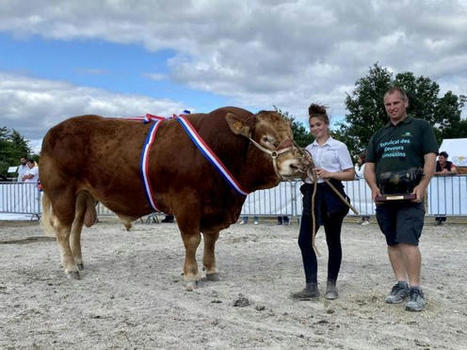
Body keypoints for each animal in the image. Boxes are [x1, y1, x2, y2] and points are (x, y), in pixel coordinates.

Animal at [41, 108, 310, 288]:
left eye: (290, 133)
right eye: (267, 139)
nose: (296, 165)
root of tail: (53, 131)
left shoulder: (215, 207)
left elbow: (211, 239)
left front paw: (211, 269)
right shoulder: (186, 202)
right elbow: (192, 240)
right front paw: (191, 275)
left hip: (83, 195)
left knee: (76, 227)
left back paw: (78, 261)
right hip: (62, 191)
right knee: (62, 228)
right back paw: (70, 267)